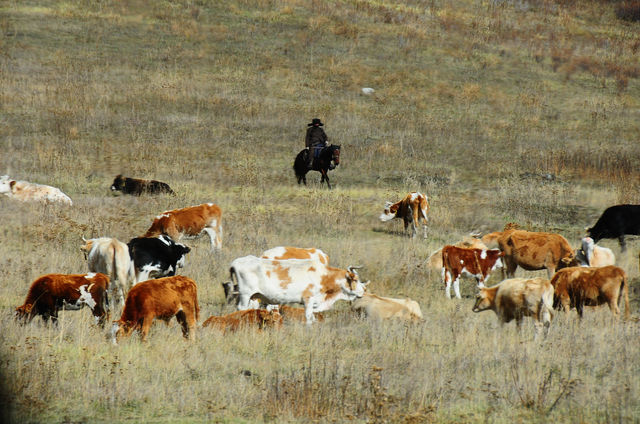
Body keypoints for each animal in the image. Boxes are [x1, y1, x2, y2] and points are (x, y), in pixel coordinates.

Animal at [230, 255, 370, 324]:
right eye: (355, 280)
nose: (364, 290)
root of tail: (235, 263)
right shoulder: (308, 300)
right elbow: (308, 318)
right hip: (245, 294)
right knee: (241, 308)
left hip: (252, 296)